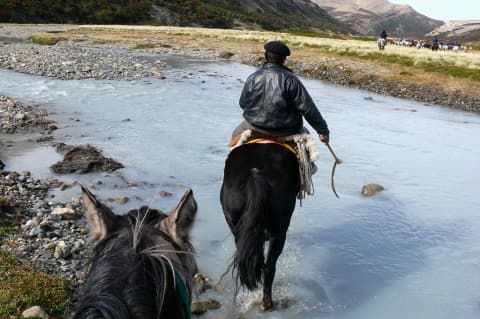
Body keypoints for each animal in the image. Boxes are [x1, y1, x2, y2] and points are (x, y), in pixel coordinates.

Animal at [220, 143, 296, 312]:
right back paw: (266, 303)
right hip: (278, 230)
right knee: (267, 265)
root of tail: (256, 174)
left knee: (258, 261)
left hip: (236, 225)